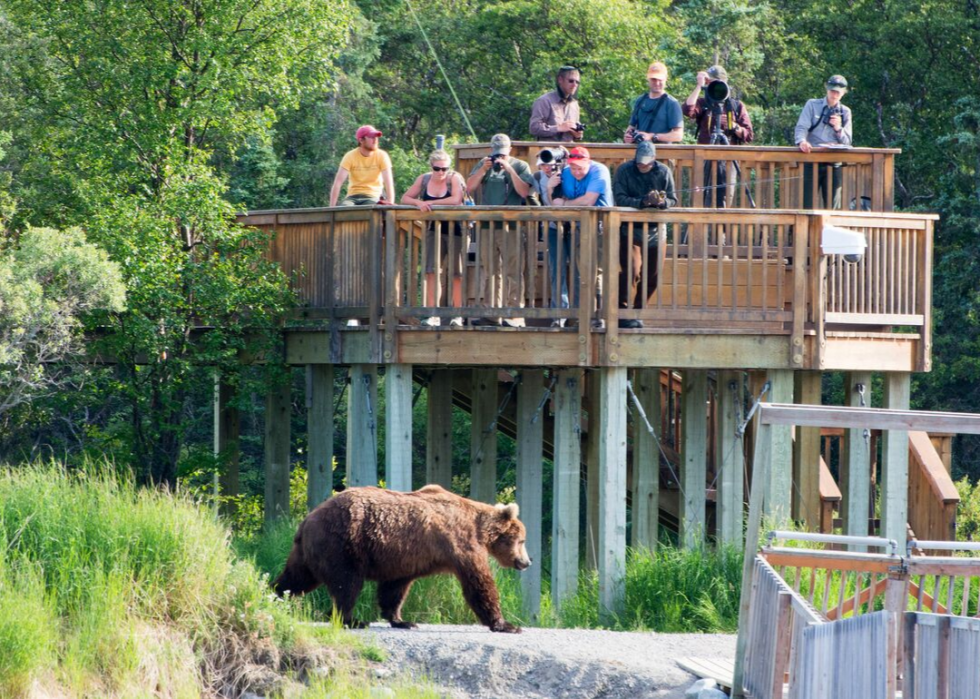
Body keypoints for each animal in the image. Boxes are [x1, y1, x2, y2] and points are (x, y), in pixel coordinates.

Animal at [272, 486, 532, 636]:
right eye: (522, 540)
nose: (527, 562)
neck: (480, 529)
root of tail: (307, 520)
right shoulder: (461, 544)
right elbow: (478, 583)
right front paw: (507, 625)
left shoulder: (402, 557)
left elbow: (394, 588)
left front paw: (401, 620)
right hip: (341, 544)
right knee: (346, 584)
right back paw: (352, 620)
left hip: (307, 552)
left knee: (295, 578)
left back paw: (273, 595)